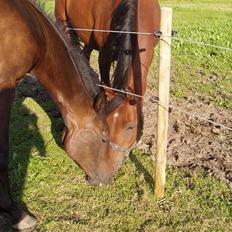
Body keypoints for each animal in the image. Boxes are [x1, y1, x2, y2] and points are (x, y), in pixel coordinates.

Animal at [55, 0, 160, 158]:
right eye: (107, 122)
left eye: (131, 126)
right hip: (64, 23)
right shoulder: (104, 57)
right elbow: (105, 83)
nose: (113, 153)